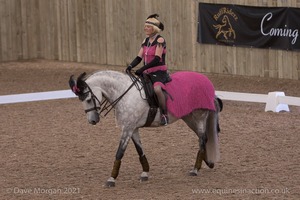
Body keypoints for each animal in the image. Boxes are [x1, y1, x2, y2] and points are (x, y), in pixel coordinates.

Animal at [68, 69, 223, 187]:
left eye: (88, 99)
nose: (92, 120)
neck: (124, 93)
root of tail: (207, 82)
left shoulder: (127, 129)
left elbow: (119, 153)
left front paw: (111, 179)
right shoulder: (132, 129)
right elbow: (139, 150)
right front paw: (145, 173)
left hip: (199, 116)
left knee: (202, 138)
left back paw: (195, 169)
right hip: (189, 118)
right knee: (202, 138)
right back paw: (207, 162)